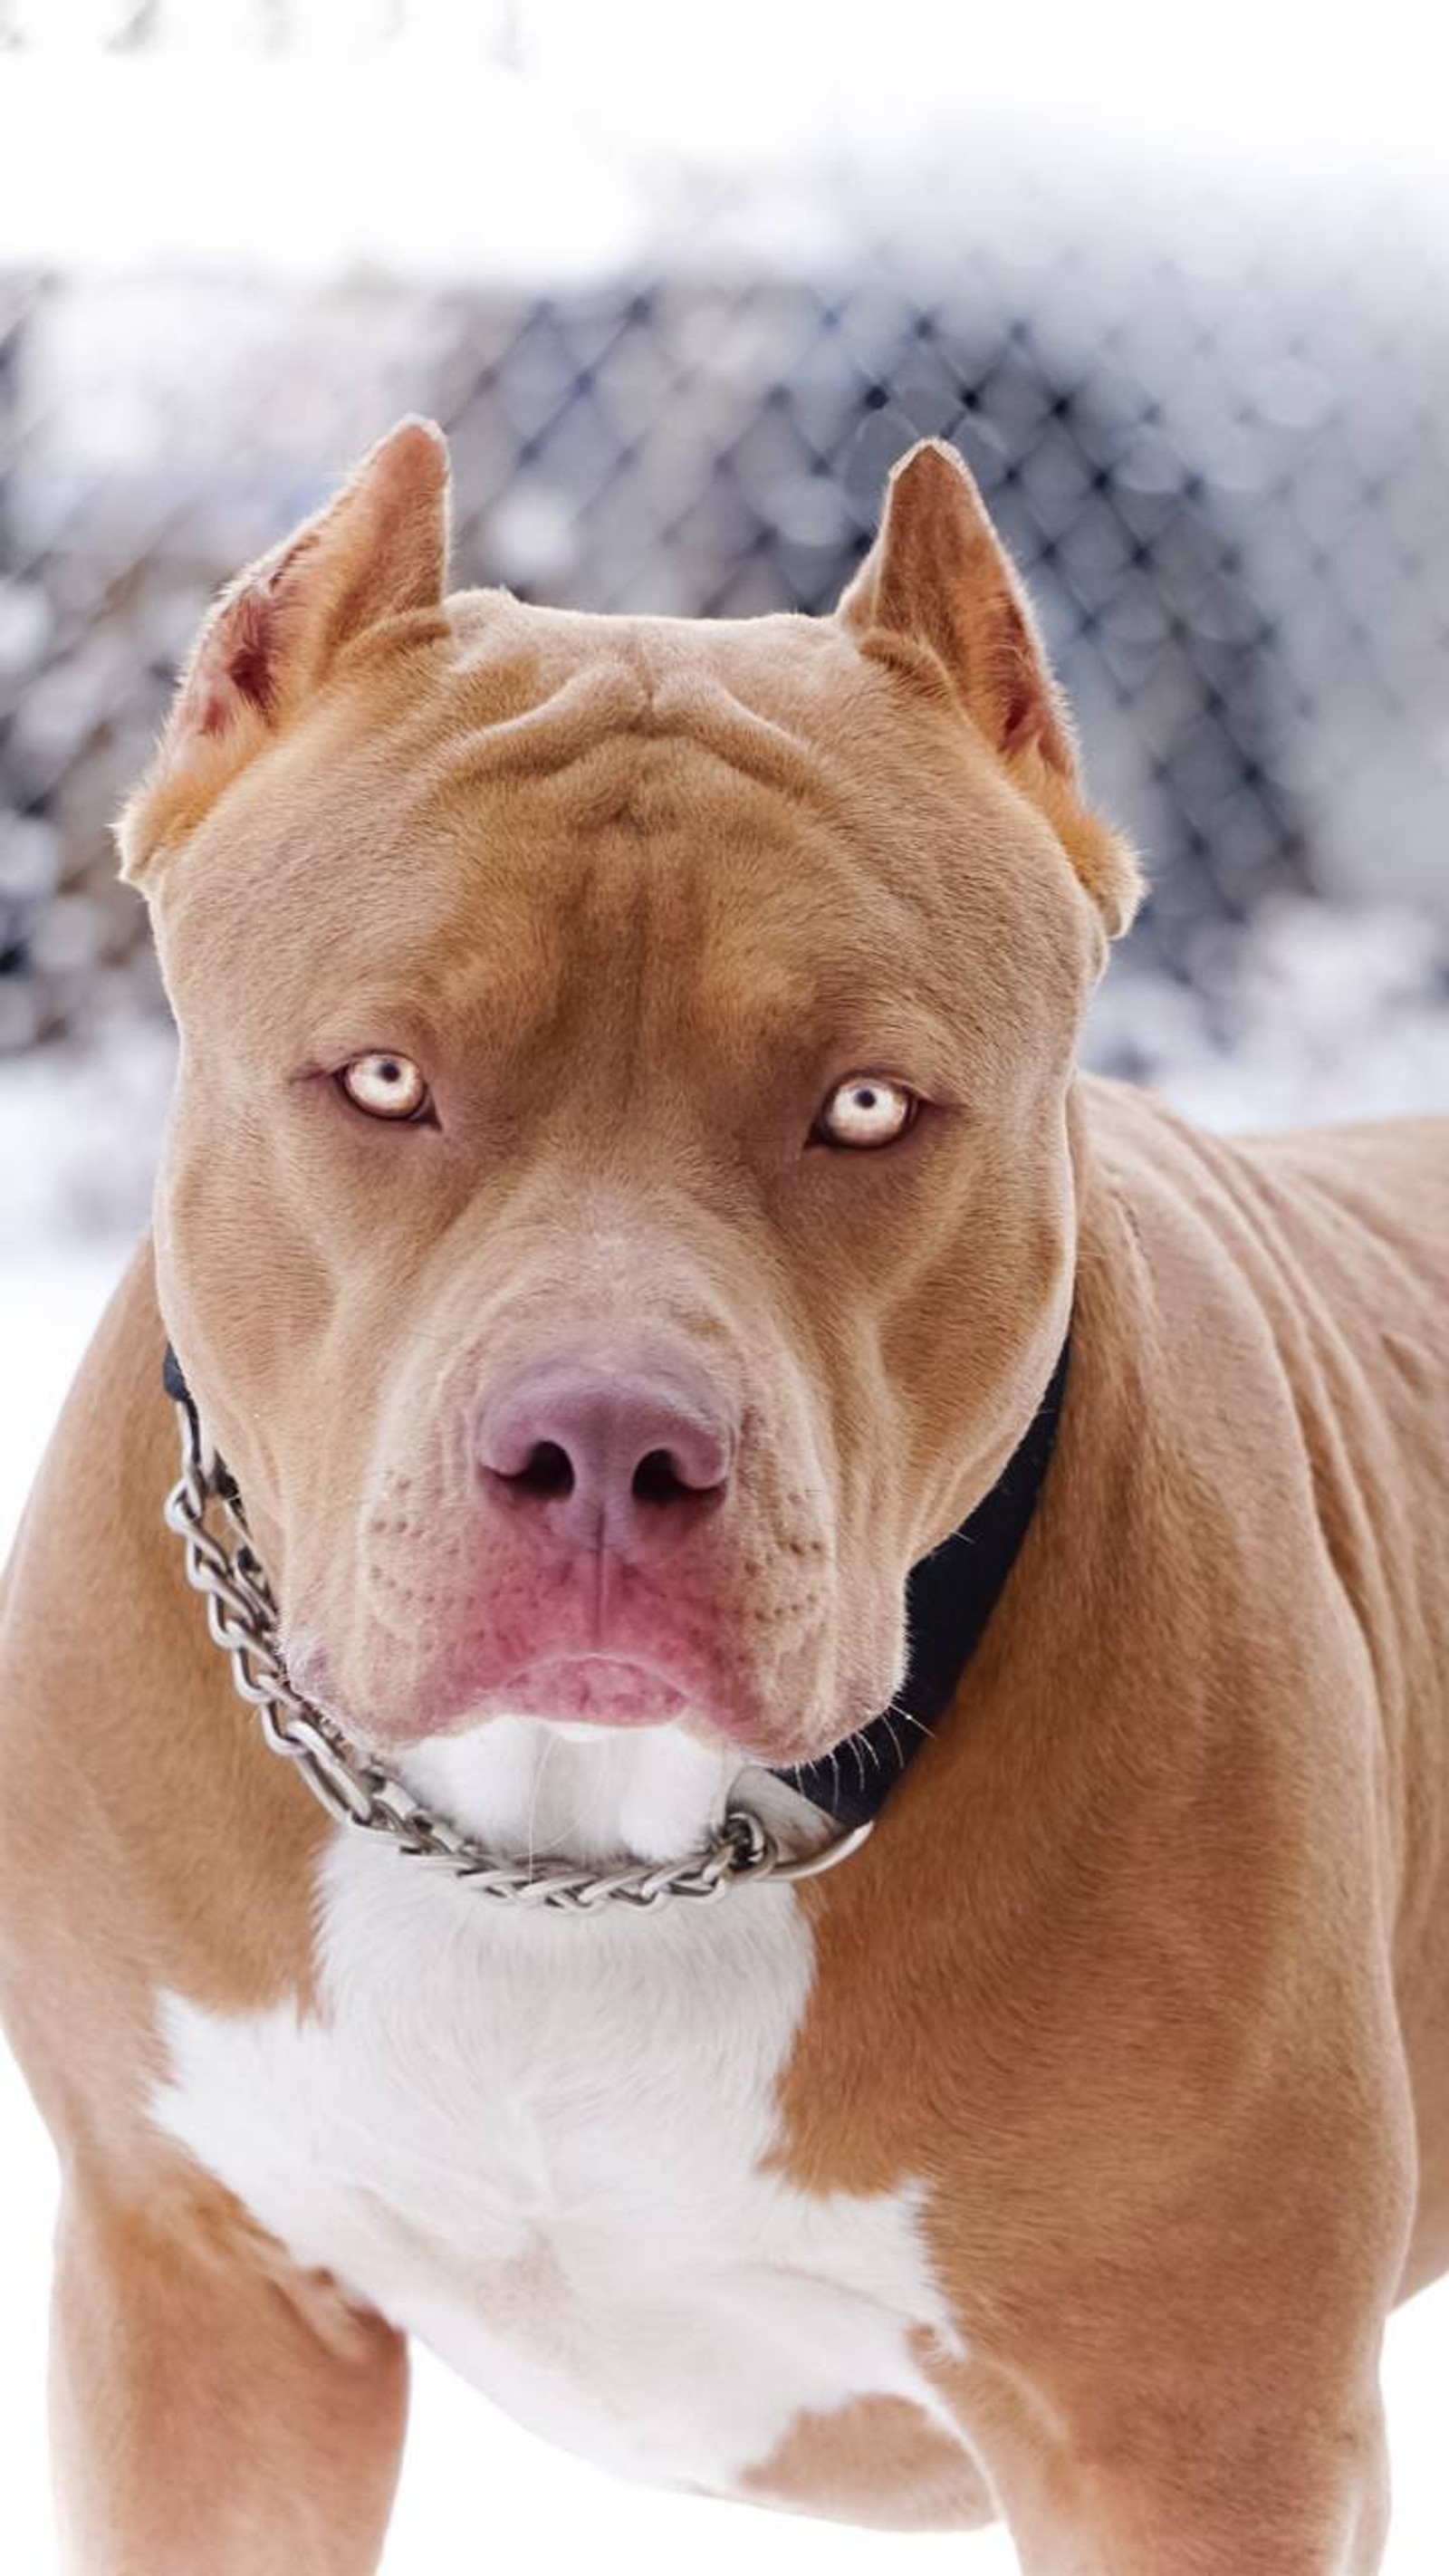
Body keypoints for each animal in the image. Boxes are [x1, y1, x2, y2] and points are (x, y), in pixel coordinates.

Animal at [3, 428, 1449, 2576]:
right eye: (381, 1078)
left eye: (864, 1106)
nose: (607, 1447)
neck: (575, 1858)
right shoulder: (201, 2312)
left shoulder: (1194, 2436)